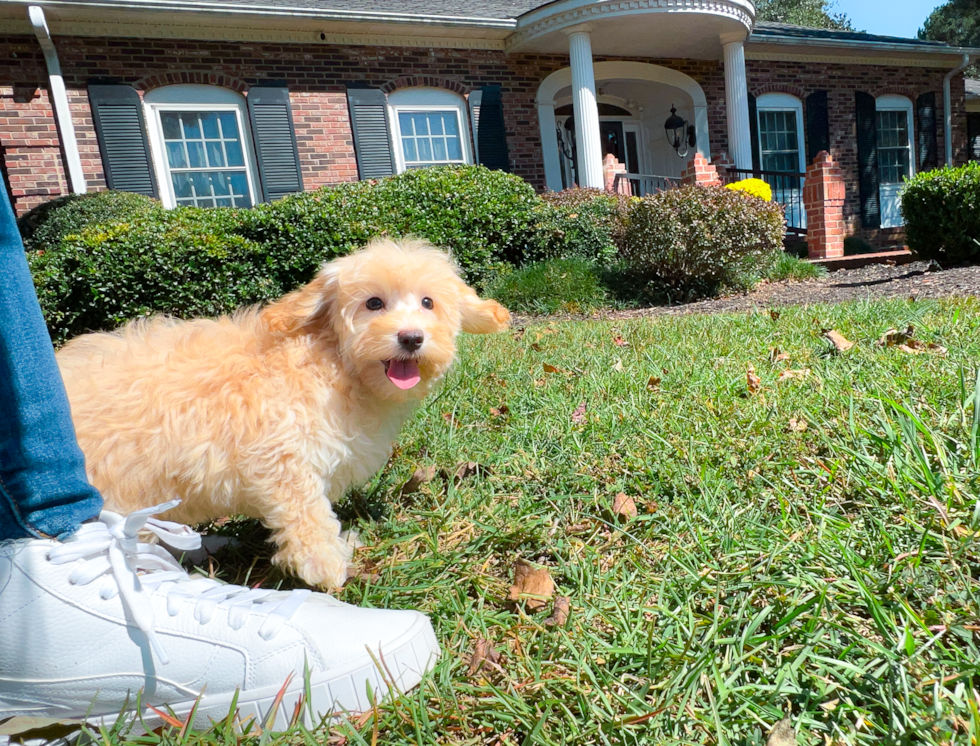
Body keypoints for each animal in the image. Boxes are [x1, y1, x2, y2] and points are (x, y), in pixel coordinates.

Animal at [59, 235, 512, 584]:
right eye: (373, 304)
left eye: (428, 302)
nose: (412, 337)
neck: (332, 361)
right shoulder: (280, 452)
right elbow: (304, 510)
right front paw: (326, 563)